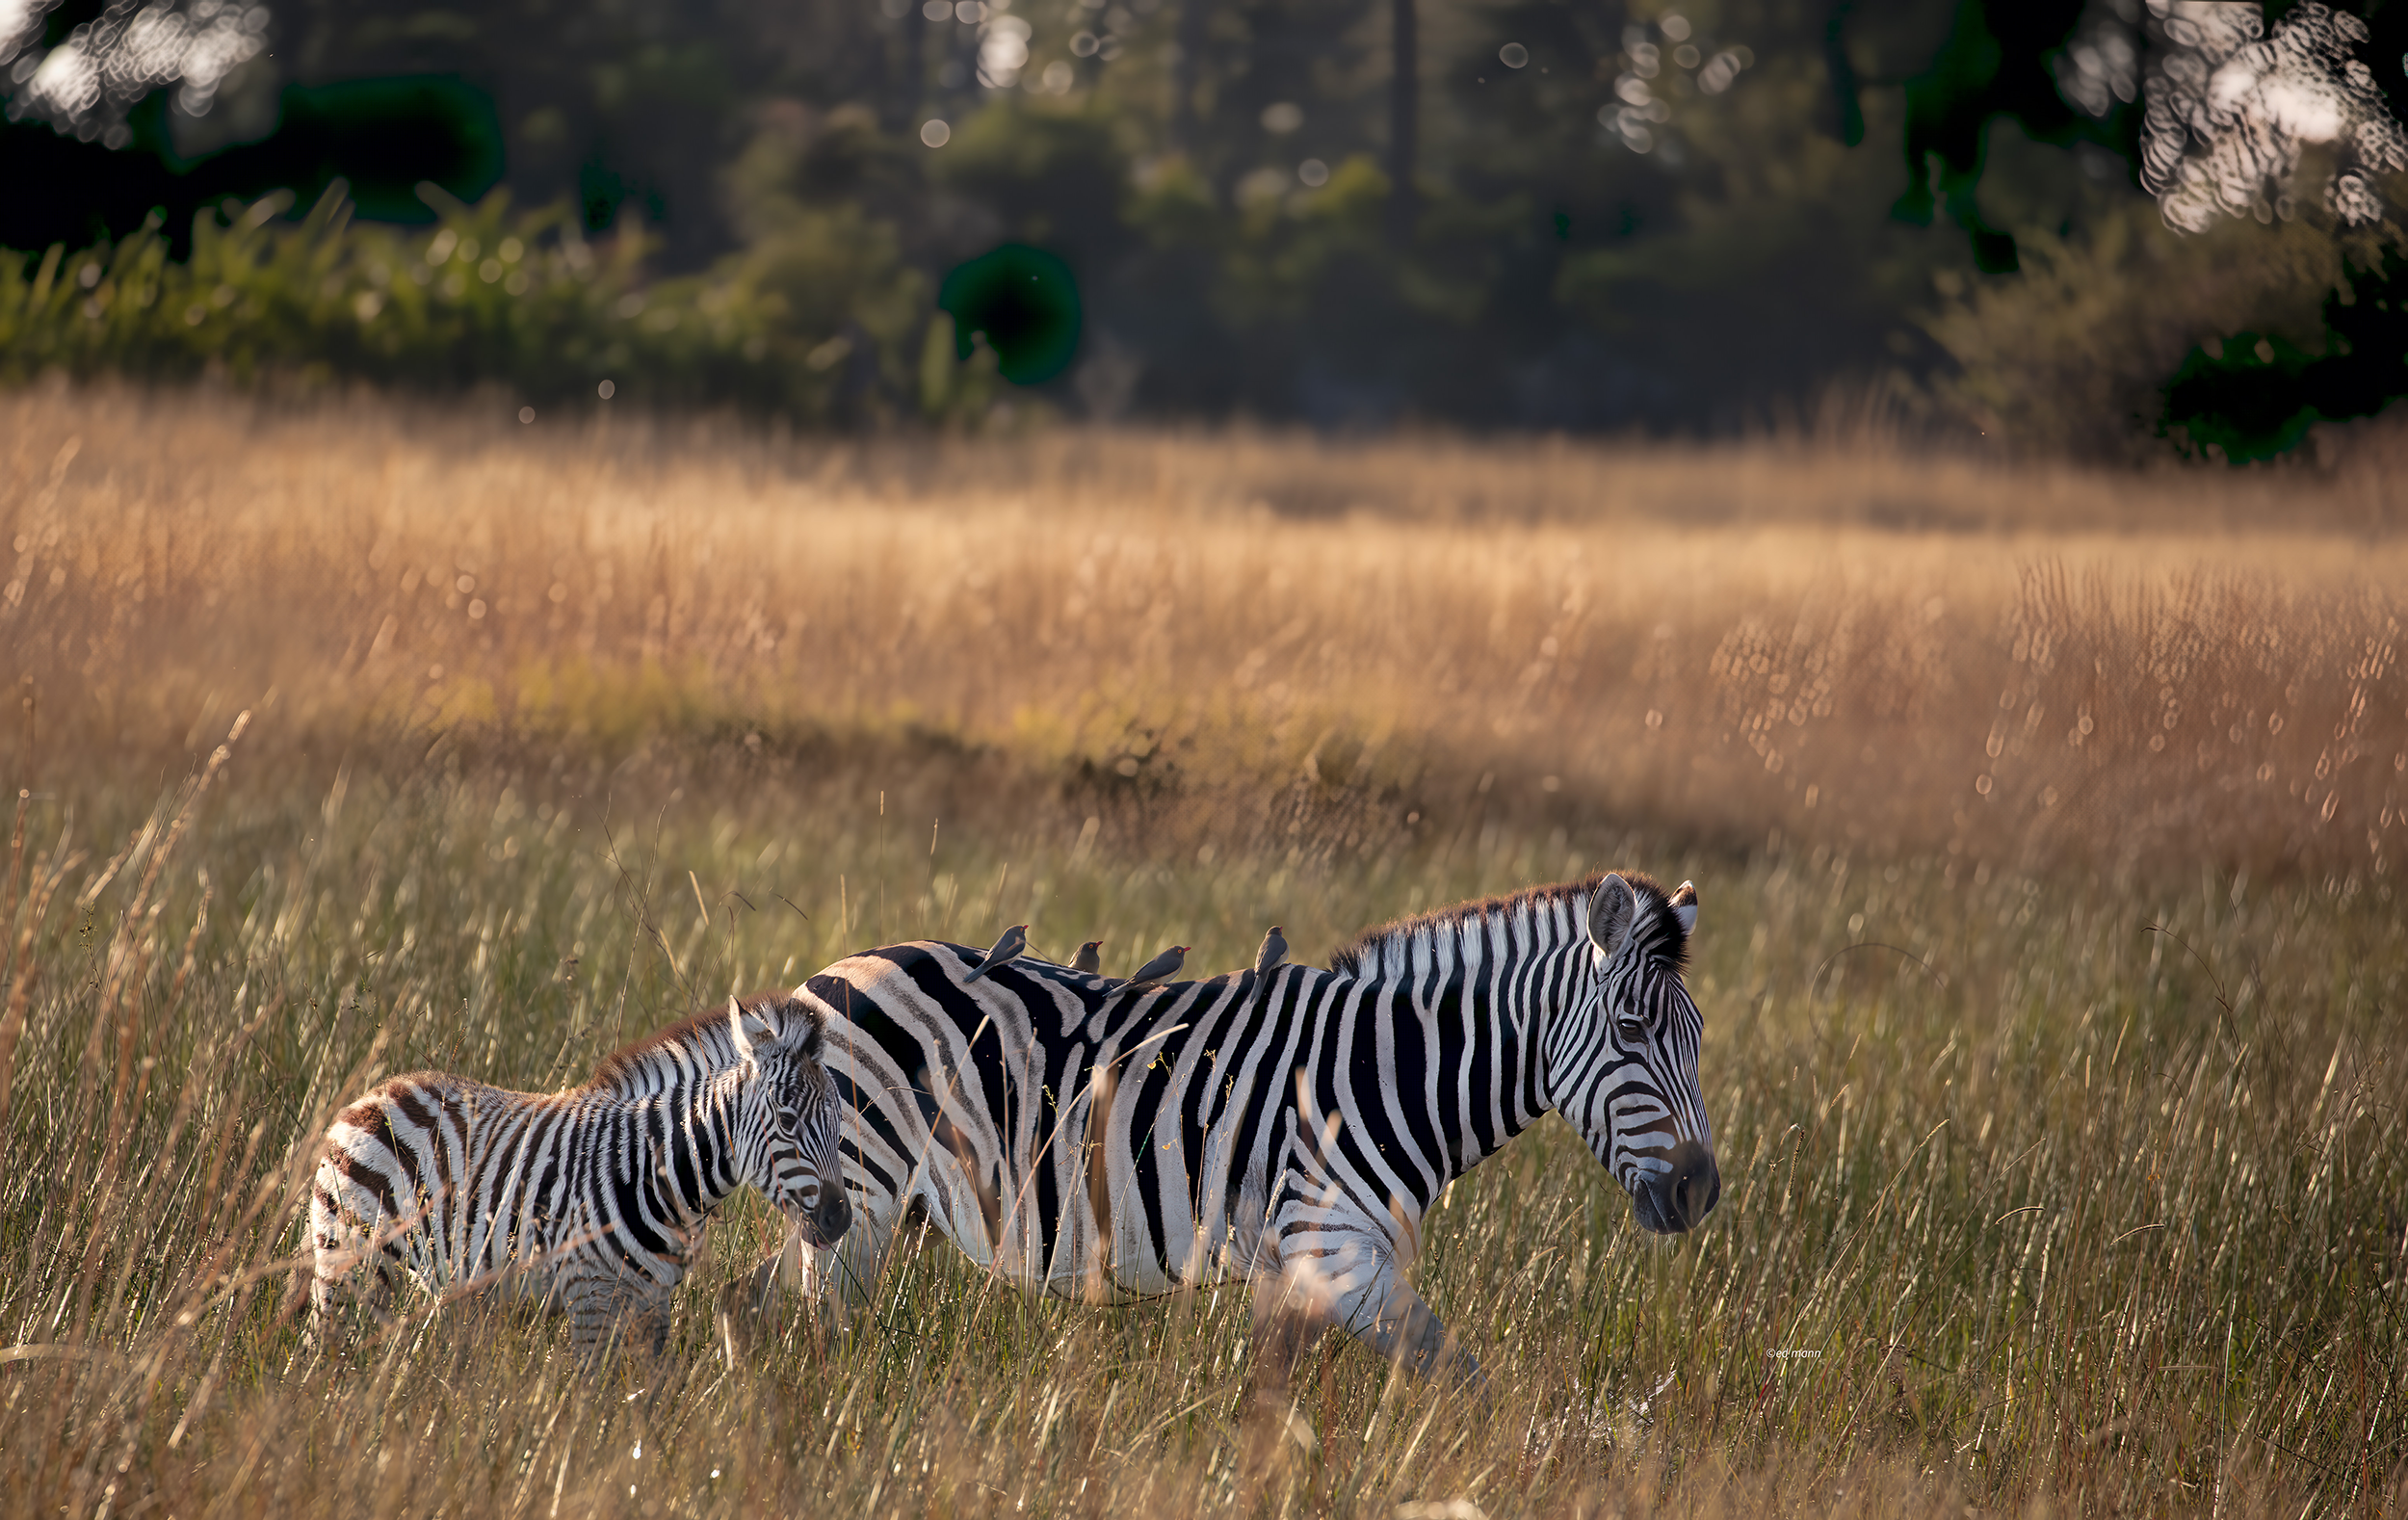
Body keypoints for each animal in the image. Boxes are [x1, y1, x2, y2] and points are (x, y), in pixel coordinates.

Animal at [307, 990, 852, 1360]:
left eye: (839, 1122)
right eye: (787, 1121)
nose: (840, 1220)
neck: (656, 1174)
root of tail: (371, 1096)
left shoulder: (653, 1301)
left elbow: (648, 1400)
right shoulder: (589, 1295)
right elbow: (592, 1402)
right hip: (350, 1263)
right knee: (328, 1352)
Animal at [772, 871, 1716, 1395]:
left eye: (1699, 1037)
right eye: (1632, 1032)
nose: (1701, 1191)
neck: (1386, 1073)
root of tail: (838, 970)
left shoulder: (1297, 1267)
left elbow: (1283, 1395)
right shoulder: (1337, 1253)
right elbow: (1464, 1382)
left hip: (864, 1208)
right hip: (861, 1201)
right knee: (818, 1332)